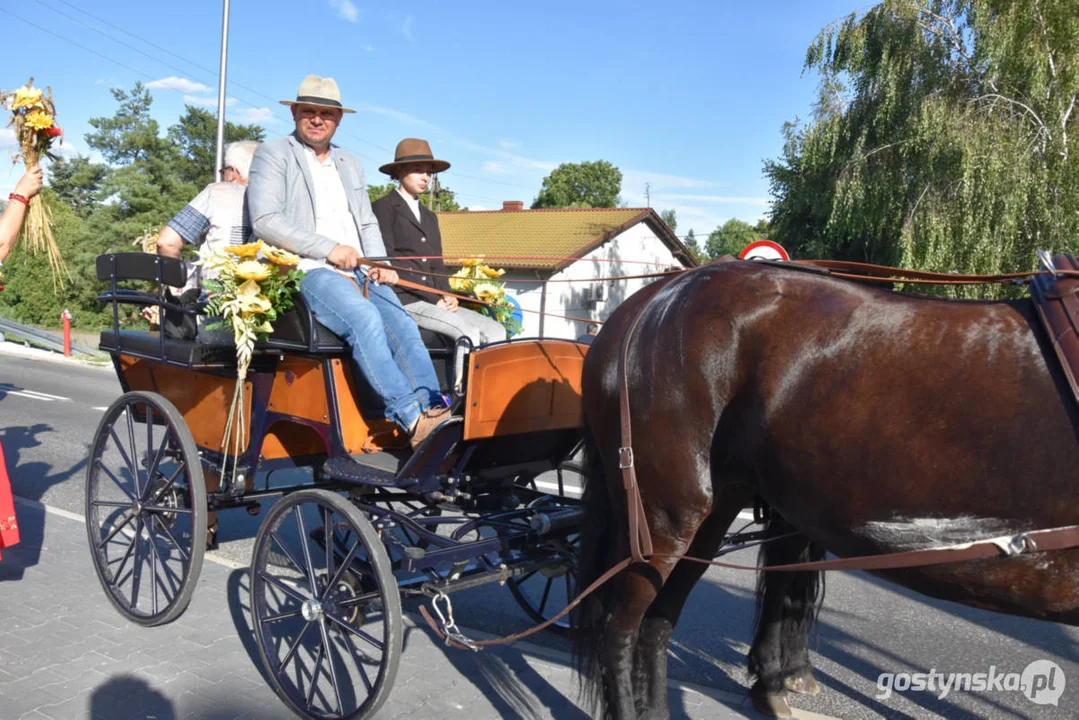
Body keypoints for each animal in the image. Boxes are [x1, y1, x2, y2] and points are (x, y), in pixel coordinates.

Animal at [574, 255, 1079, 716]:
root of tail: (648, 299)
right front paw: (779, 677)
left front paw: (778, 678)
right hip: (663, 521)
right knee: (619, 632)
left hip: (710, 514)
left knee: (657, 623)